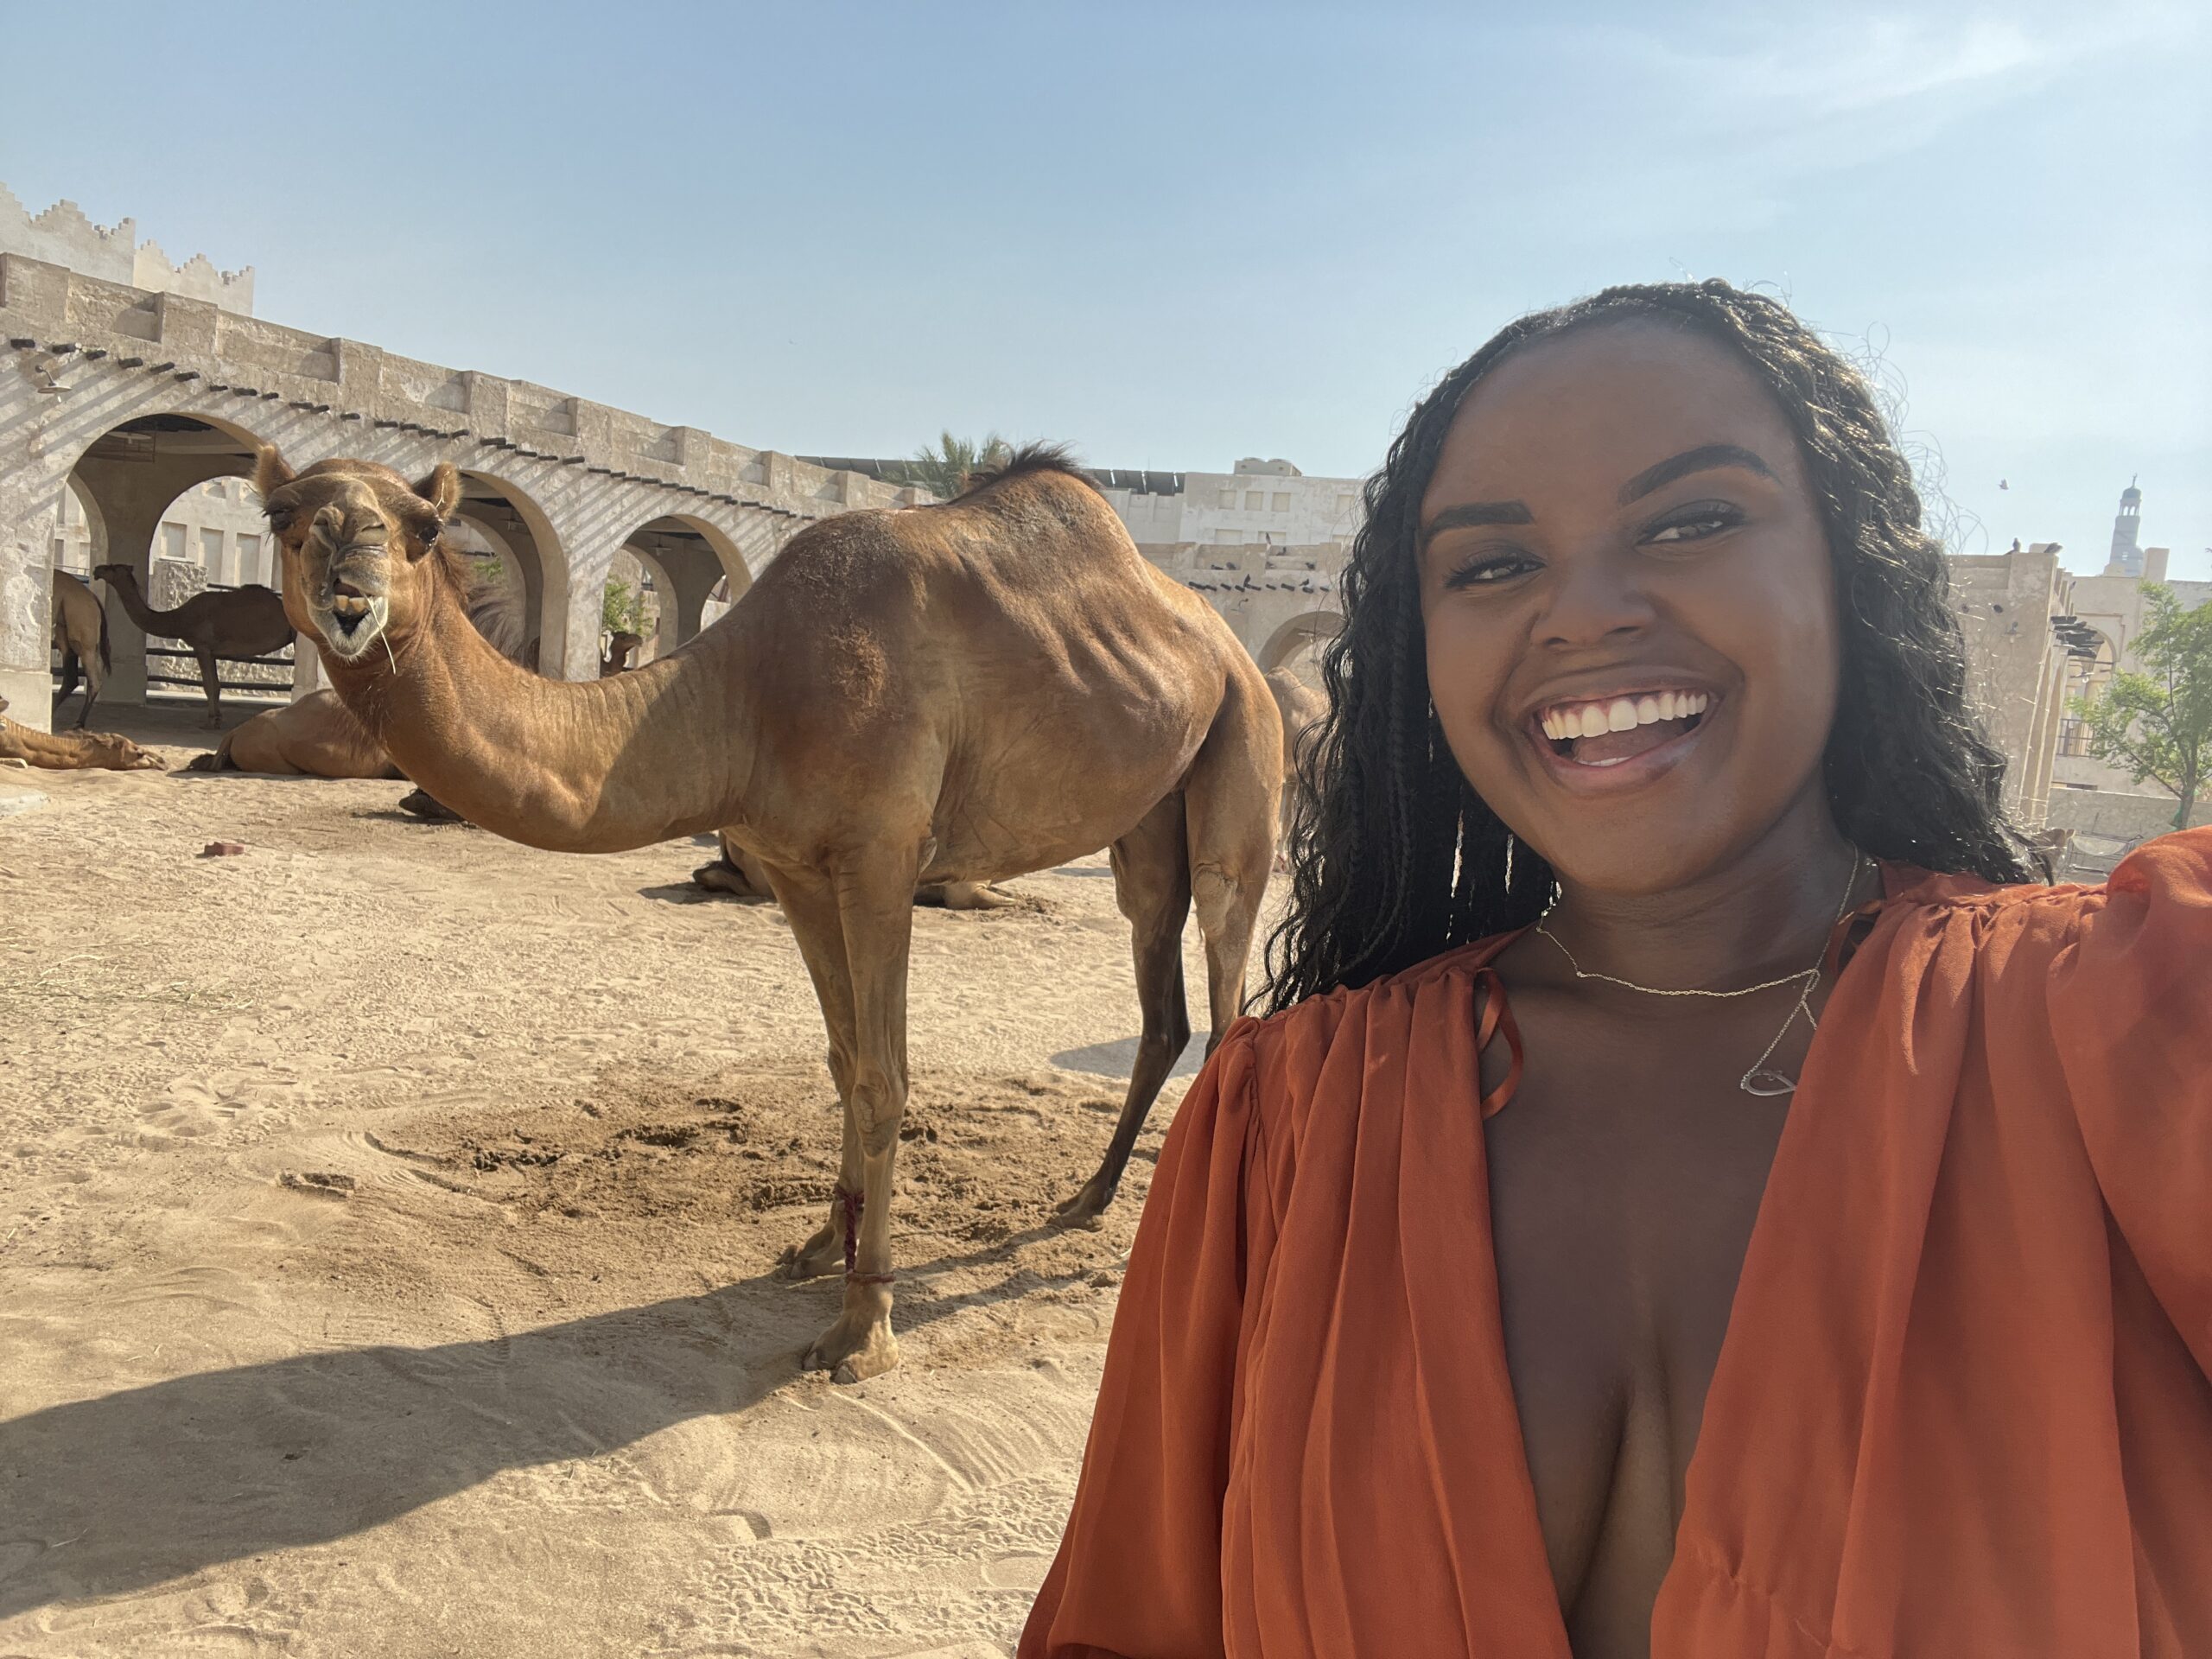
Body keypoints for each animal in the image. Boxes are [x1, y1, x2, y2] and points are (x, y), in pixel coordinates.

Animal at [50, 570, 109, 725]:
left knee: (93, 680)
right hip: (65, 631)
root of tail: (93, 598)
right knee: (71, 677)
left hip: (82, 635)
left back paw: (78, 724)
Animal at [92, 562, 294, 725]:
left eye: (112, 567)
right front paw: (217, 718)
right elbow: (216, 685)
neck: (179, 619)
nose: (96, 569)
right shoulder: (211, 651)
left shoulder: (201, 646)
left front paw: (211, 721)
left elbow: (208, 685)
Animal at [261, 448, 1292, 1380]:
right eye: (284, 515)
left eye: (423, 528)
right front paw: (817, 1247)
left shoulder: (881, 860)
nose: (349, 585)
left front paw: (864, 1327)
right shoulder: (797, 866)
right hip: (1146, 817)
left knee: (1225, 974)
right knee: (1160, 990)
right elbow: (839, 1059)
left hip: (1245, 749)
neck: (747, 694)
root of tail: (1231, 647)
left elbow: (883, 1078)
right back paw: (1085, 1199)